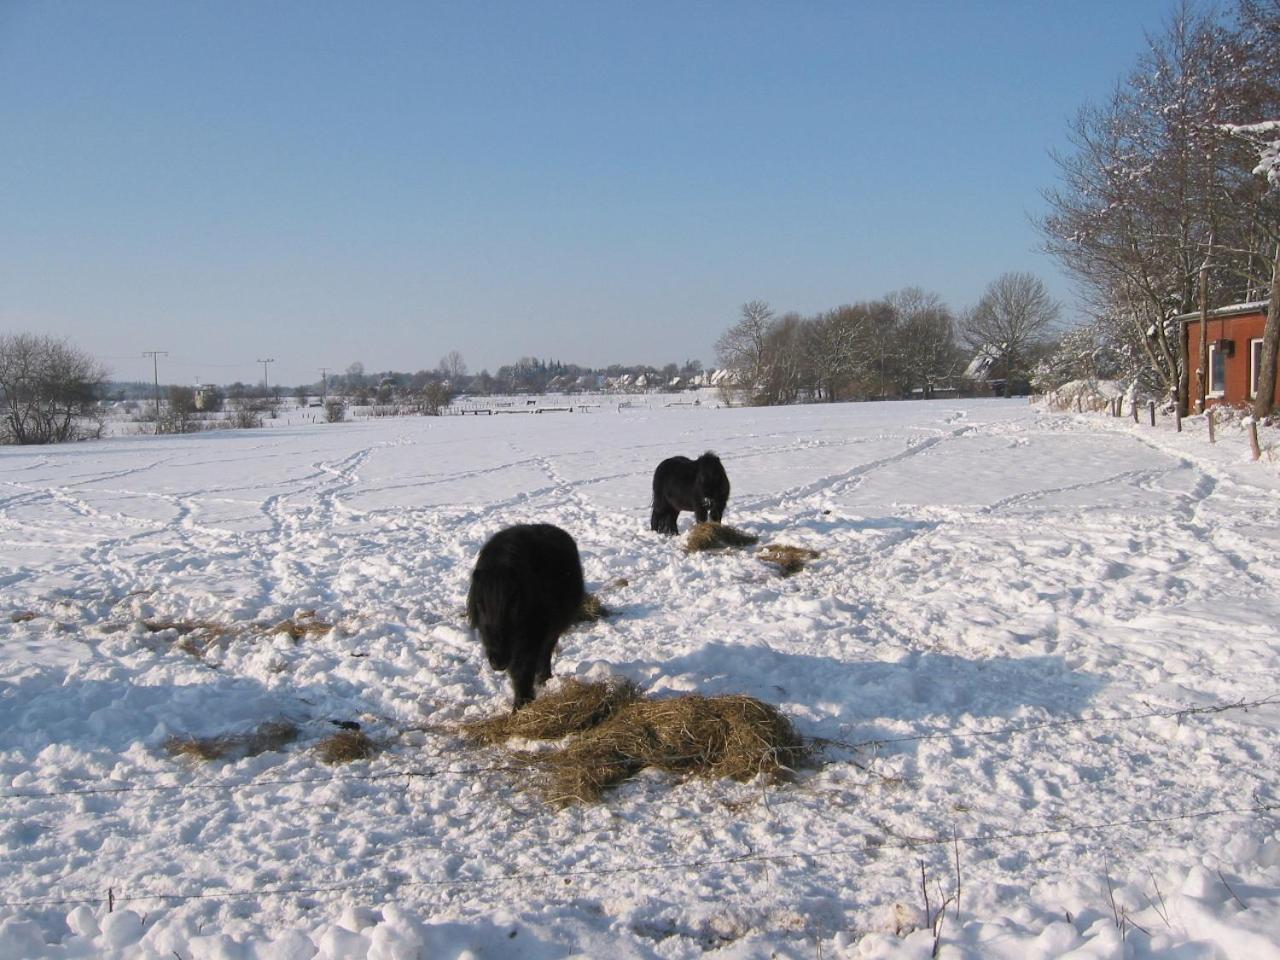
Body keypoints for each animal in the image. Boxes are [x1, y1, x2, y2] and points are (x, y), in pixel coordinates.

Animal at [465, 522, 586, 711]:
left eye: (514, 600)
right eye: (479, 603)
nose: (497, 662)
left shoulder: (531, 638)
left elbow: (522, 670)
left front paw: (521, 704)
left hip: (551, 632)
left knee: (545, 653)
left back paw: (544, 679)